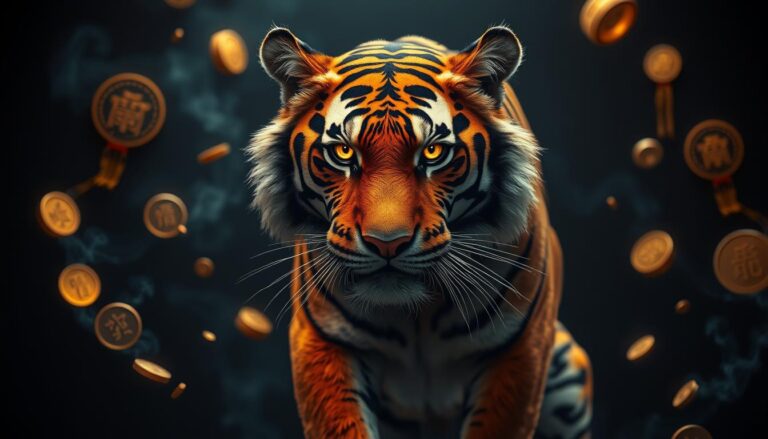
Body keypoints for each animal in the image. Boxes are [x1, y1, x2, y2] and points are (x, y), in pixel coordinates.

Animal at [247, 25, 592, 439]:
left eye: (433, 153)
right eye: (343, 153)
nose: (387, 243)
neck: (416, 319)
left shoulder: (521, 345)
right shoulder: (322, 339)